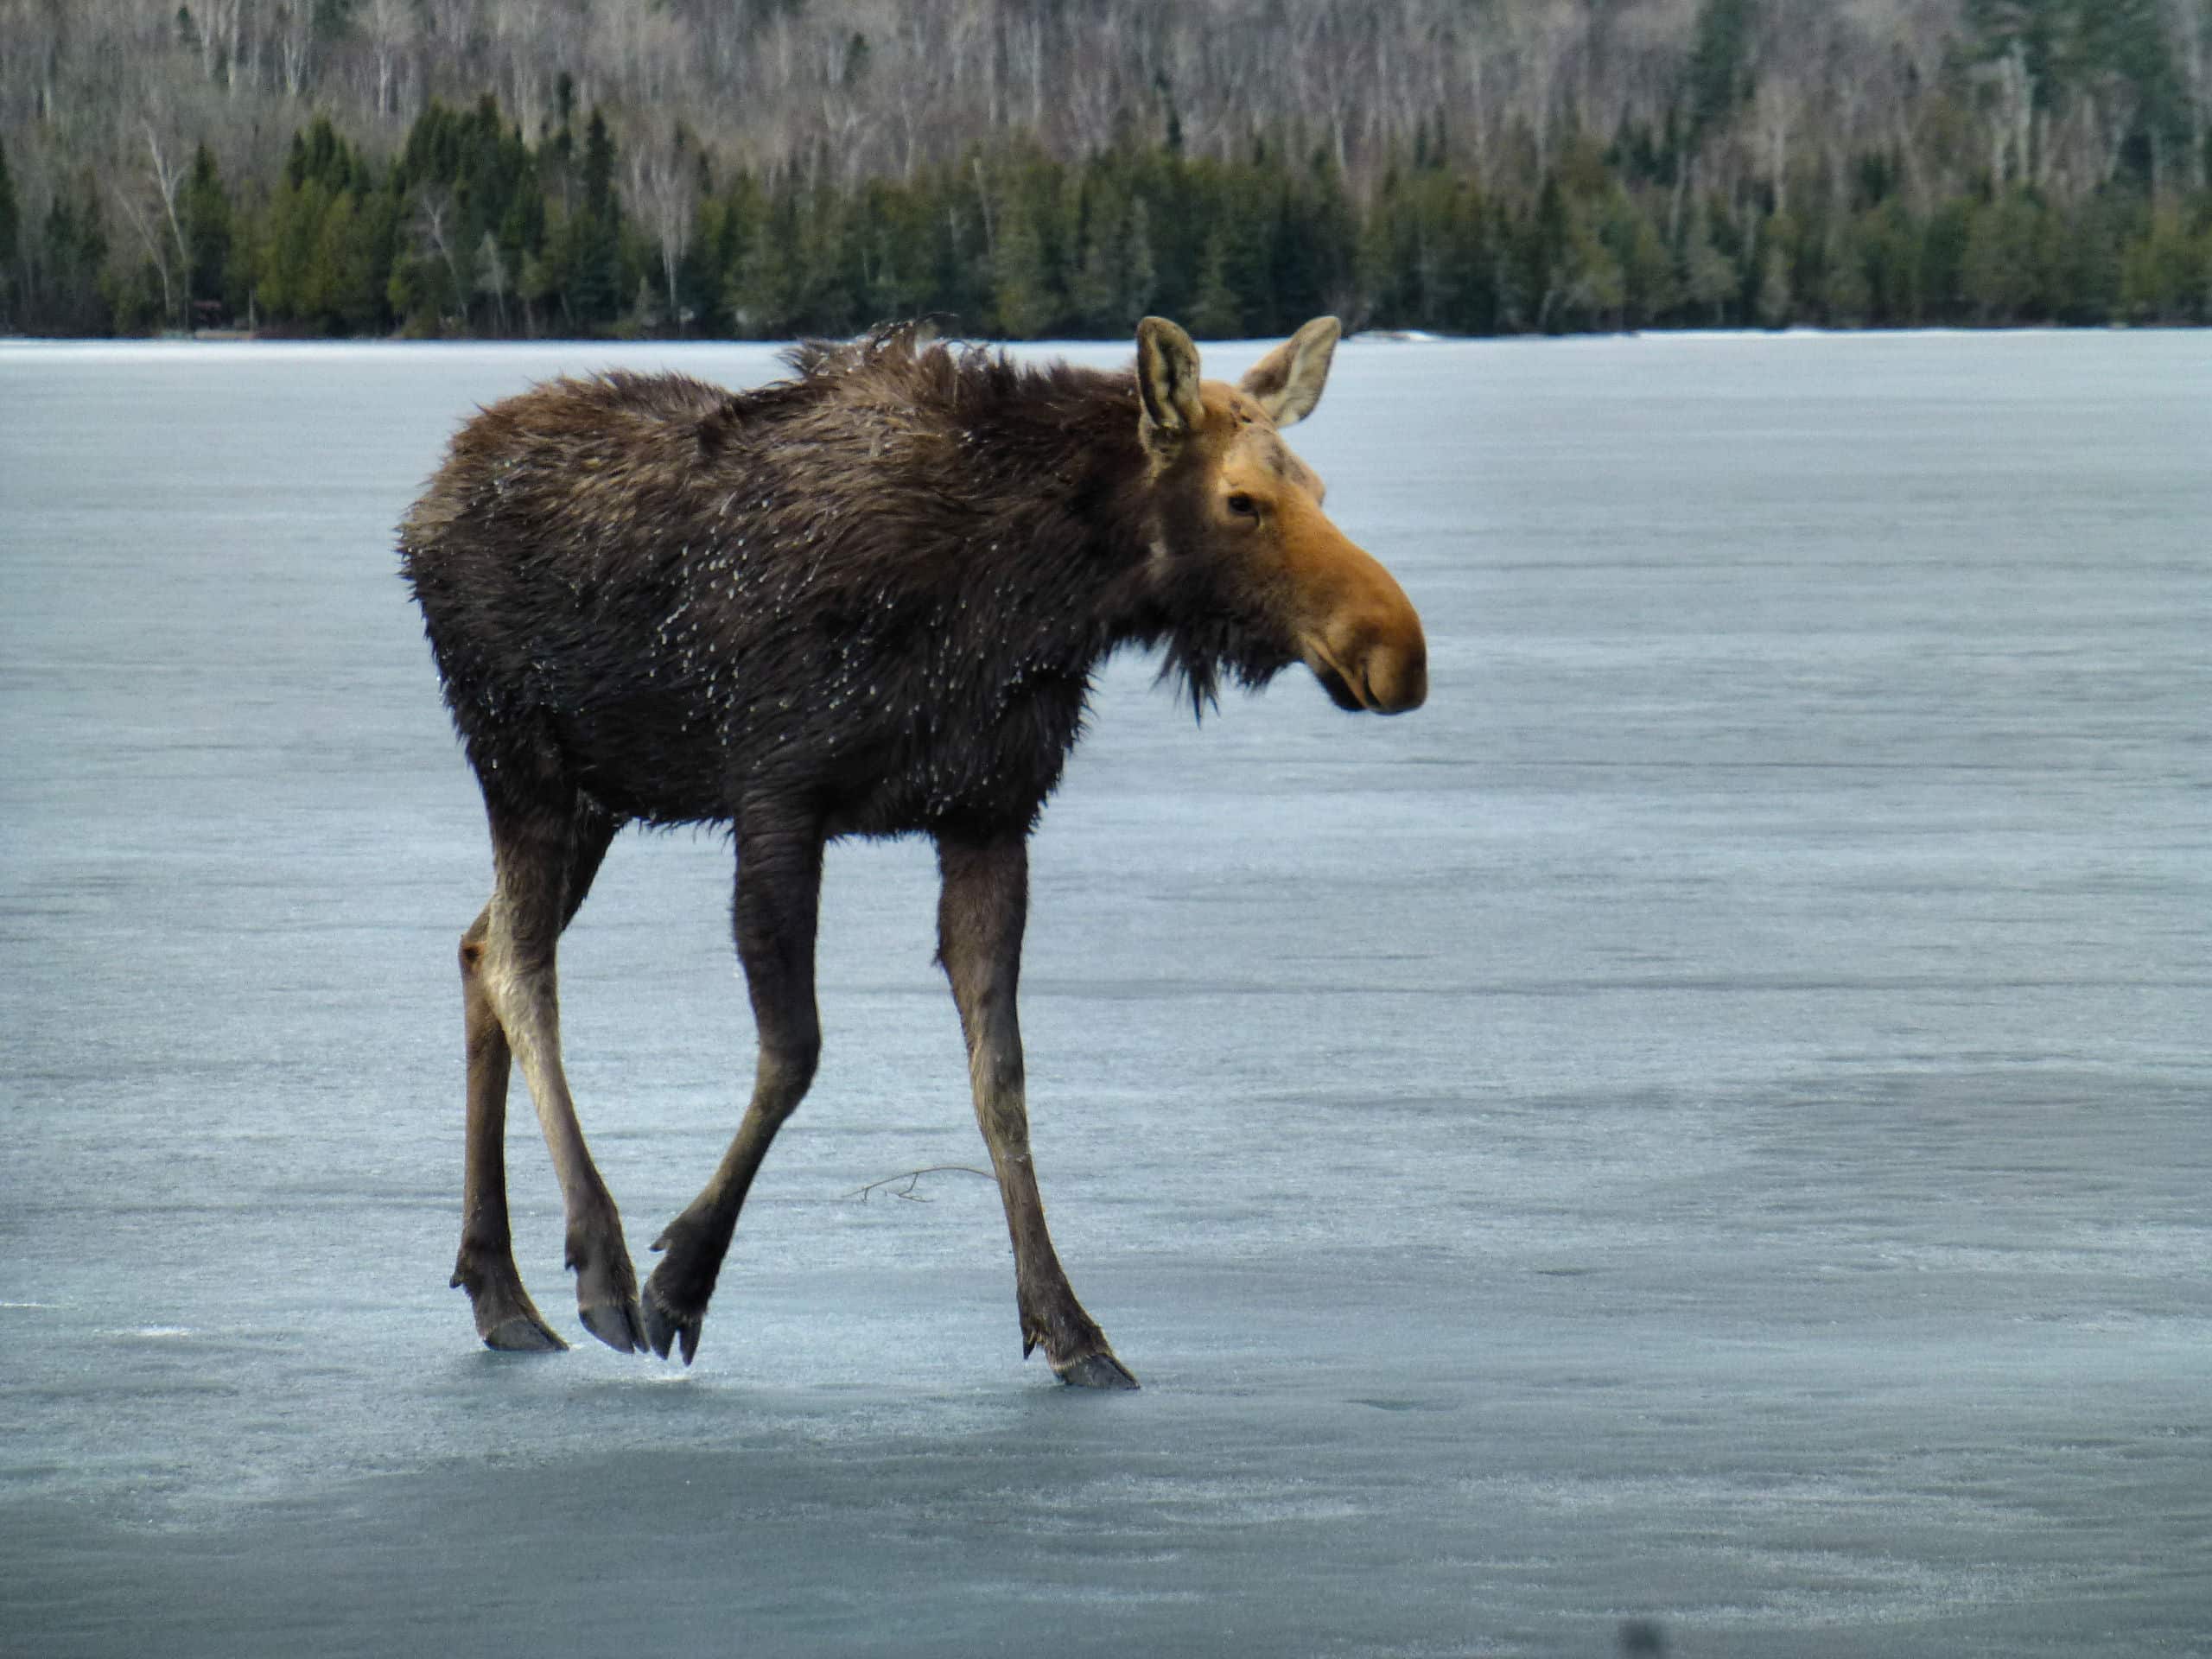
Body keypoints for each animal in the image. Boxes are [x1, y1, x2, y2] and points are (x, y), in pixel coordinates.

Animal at [400, 314, 1424, 1389]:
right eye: (1242, 501)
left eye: (1319, 491)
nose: (1395, 650)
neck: (1034, 598)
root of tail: (423, 508)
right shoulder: (777, 791)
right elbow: (794, 1049)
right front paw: (679, 1280)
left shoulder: (988, 813)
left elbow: (1000, 1076)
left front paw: (1069, 1324)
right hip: (521, 759)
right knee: (521, 966)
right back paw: (596, 1262)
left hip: (595, 798)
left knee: (477, 944)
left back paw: (499, 1289)